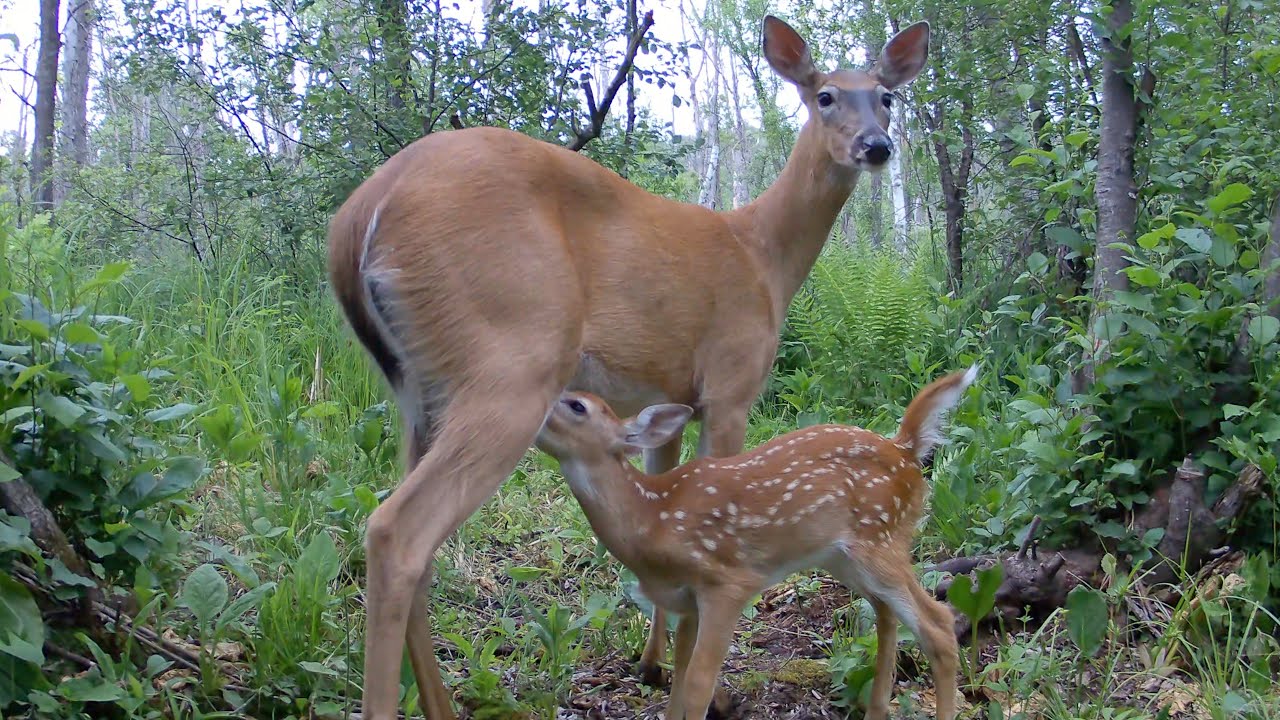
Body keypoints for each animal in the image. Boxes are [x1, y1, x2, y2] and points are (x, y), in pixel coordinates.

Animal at [327, 14, 931, 720]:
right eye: (825, 95)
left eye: (886, 97)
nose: (875, 146)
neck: (762, 257)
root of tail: (358, 217)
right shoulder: (731, 383)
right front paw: (709, 689)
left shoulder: (665, 397)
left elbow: (664, 495)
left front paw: (652, 663)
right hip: (512, 359)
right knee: (397, 531)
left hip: (419, 390)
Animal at [534, 367, 975, 720]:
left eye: (577, 405)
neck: (654, 518)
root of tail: (907, 451)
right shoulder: (686, 601)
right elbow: (678, 680)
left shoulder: (727, 581)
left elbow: (698, 684)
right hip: (845, 556)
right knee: (887, 615)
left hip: (880, 541)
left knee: (938, 623)